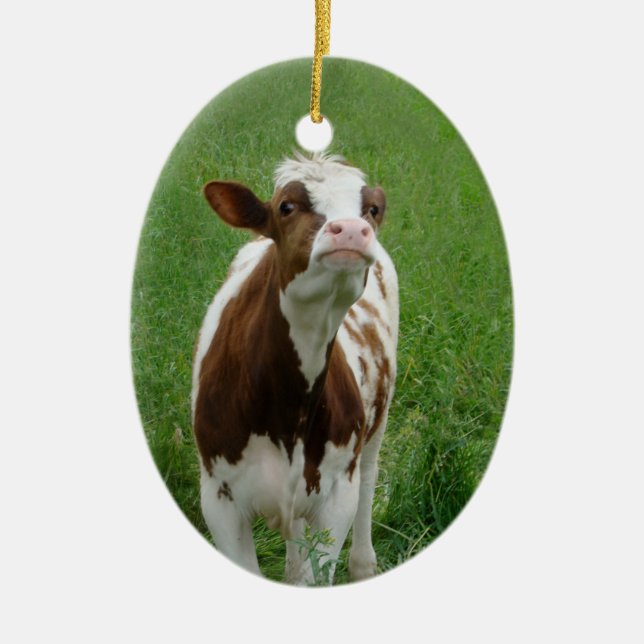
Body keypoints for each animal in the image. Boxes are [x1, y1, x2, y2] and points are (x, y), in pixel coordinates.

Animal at [191, 152, 398, 584]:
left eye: (371, 209)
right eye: (286, 207)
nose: (352, 230)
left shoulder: (337, 496)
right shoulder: (218, 498)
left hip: (378, 420)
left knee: (369, 478)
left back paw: (363, 564)